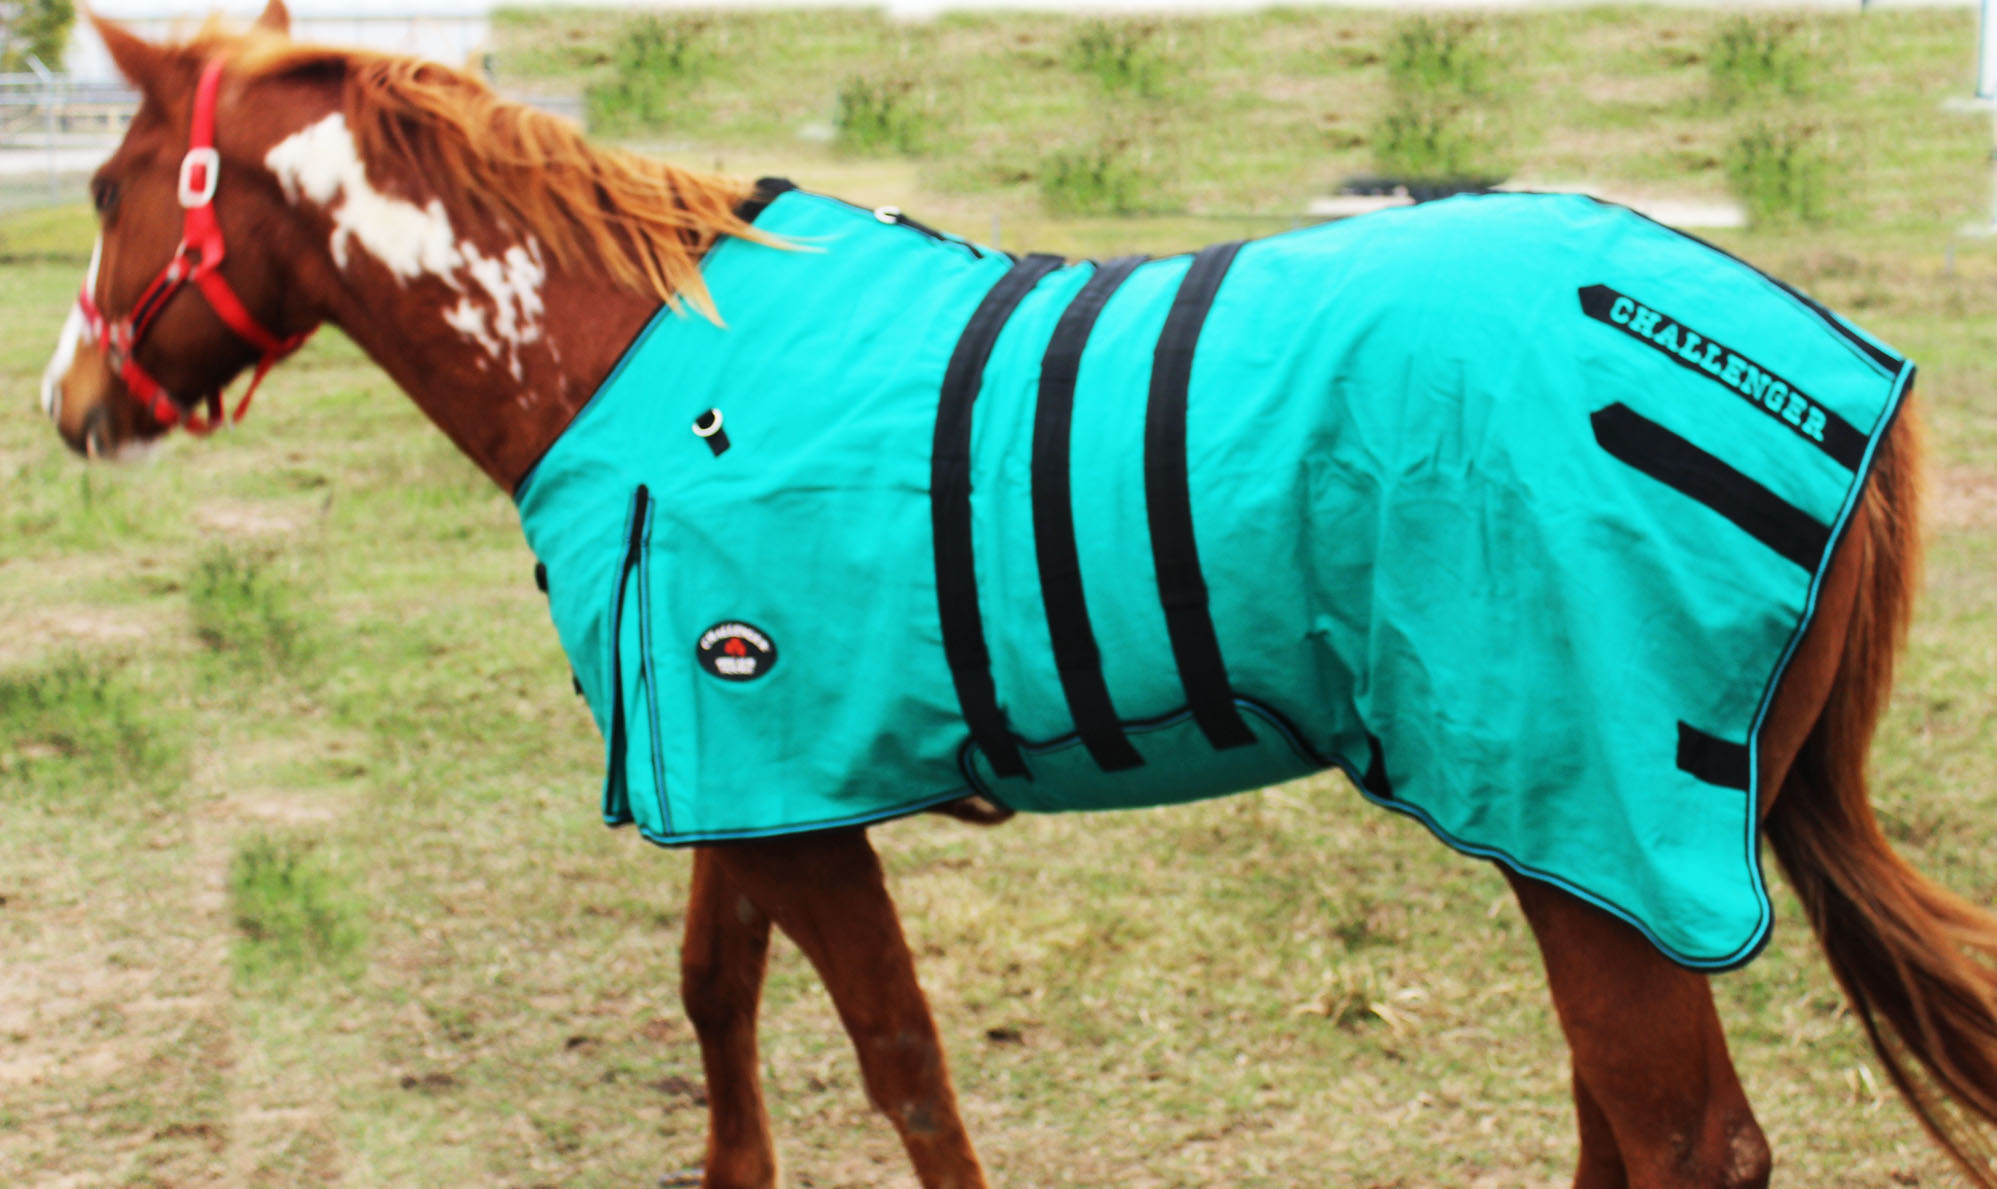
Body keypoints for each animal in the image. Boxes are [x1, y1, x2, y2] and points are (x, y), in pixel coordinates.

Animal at [35, 8, 1997, 1187]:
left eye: (118, 179)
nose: (68, 409)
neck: (631, 361)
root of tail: (1825, 358)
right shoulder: (736, 777)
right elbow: (715, 996)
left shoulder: (790, 790)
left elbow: (900, 1057)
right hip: (1571, 851)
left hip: (1589, 840)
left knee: (1680, 1138)